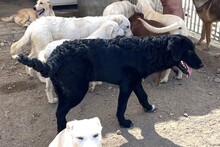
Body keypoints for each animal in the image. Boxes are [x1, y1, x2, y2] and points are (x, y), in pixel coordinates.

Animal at [15, 34, 203, 132]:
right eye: (189, 50)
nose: (201, 65)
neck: (146, 50)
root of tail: (55, 57)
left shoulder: (135, 82)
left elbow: (143, 96)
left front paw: (148, 107)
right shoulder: (126, 86)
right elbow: (122, 106)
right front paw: (124, 123)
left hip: (65, 91)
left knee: (59, 111)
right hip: (77, 91)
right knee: (60, 113)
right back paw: (62, 132)